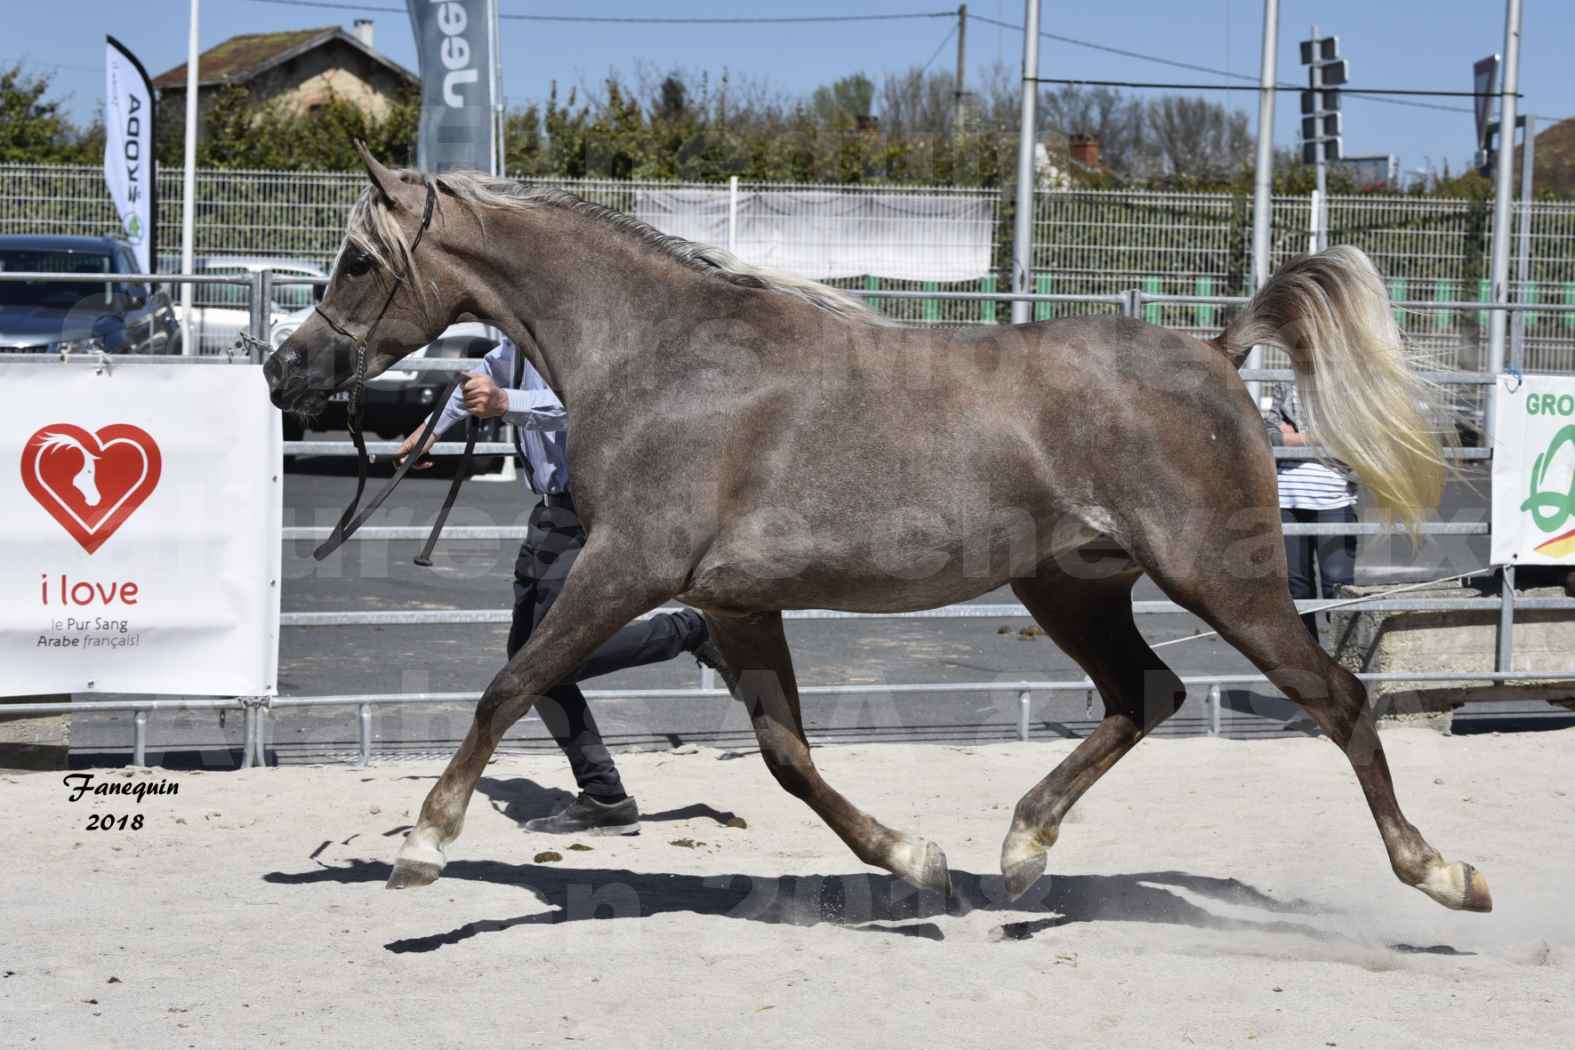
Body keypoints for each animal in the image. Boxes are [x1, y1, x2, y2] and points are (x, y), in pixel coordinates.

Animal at [267, 145, 1486, 913]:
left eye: (360, 260)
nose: (288, 368)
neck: (665, 355)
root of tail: (1219, 348)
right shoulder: (731, 600)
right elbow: (787, 757)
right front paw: (916, 861)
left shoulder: (626, 567)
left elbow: (510, 684)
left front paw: (425, 845)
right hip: (1071, 584)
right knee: (1146, 694)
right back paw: (1019, 852)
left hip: (1222, 580)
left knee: (1337, 699)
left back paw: (1442, 875)